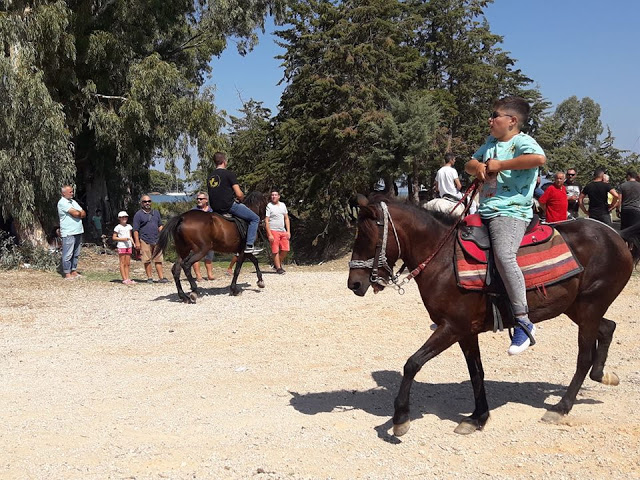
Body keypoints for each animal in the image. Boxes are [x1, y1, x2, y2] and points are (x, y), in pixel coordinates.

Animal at [350, 195, 640, 436]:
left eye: (366, 238)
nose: (354, 284)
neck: (444, 261)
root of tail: (616, 235)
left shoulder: (452, 327)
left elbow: (412, 364)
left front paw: (400, 418)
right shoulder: (466, 332)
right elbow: (476, 372)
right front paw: (478, 417)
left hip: (590, 305)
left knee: (584, 357)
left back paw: (561, 407)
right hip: (577, 307)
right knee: (608, 327)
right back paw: (602, 374)